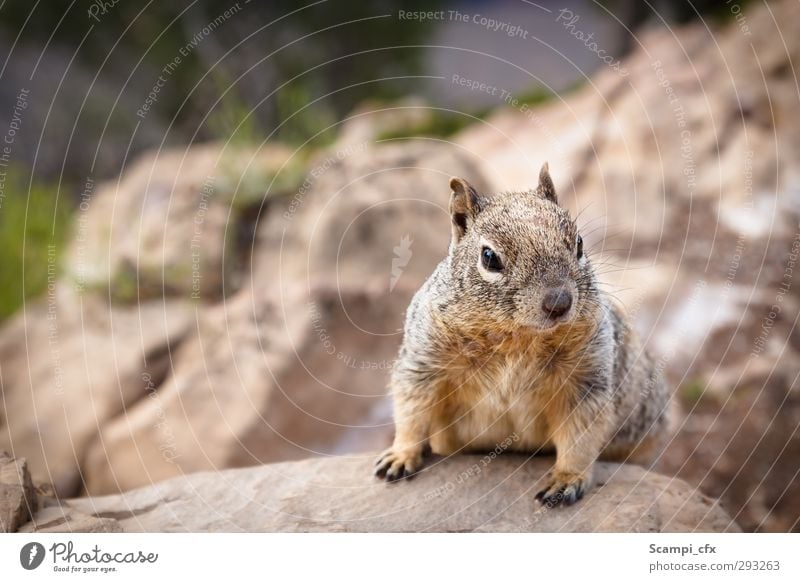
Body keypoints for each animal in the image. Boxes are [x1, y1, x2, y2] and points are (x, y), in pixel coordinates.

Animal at [374, 164, 668, 506]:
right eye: (489, 257)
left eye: (580, 243)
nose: (559, 302)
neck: (517, 337)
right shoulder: (424, 359)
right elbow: (411, 410)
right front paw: (401, 455)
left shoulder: (586, 376)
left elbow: (580, 433)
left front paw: (566, 479)